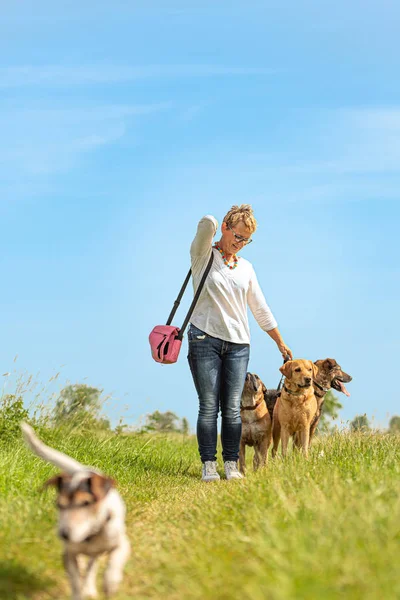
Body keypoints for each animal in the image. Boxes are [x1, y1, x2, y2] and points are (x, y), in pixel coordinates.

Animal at [20, 422, 130, 600]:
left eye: (85, 503)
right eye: (59, 505)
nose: (64, 534)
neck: (88, 536)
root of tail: (81, 470)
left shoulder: (121, 543)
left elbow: (115, 559)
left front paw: (110, 583)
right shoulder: (69, 554)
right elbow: (75, 581)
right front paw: (79, 591)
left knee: (92, 566)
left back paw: (91, 588)